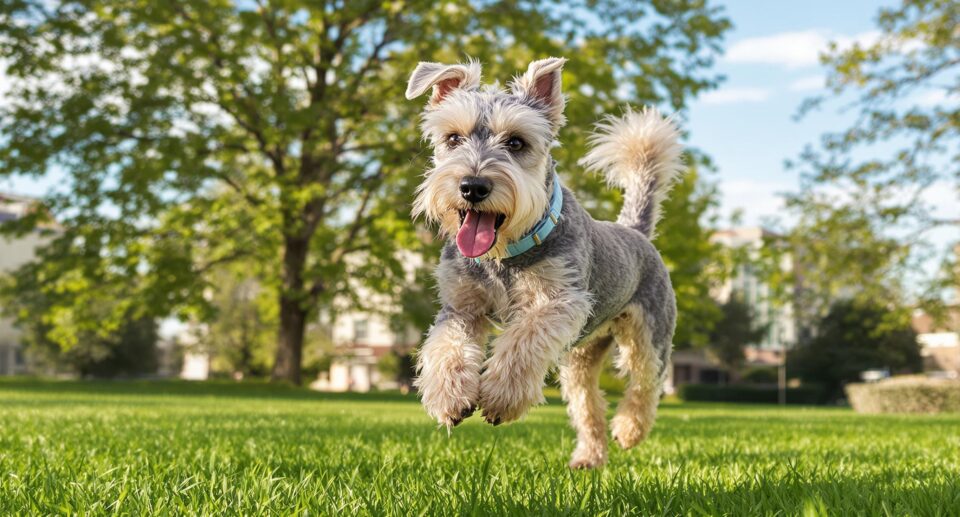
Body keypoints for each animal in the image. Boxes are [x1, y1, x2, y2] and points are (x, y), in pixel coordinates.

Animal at [404, 56, 684, 468]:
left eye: (516, 142)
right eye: (452, 138)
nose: (472, 186)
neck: (503, 257)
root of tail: (634, 231)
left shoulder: (558, 302)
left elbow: (523, 339)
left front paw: (500, 397)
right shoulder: (461, 306)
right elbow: (445, 345)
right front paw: (449, 396)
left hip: (649, 333)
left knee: (647, 382)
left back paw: (629, 429)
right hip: (580, 357)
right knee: (588, 404)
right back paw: (589, 456)